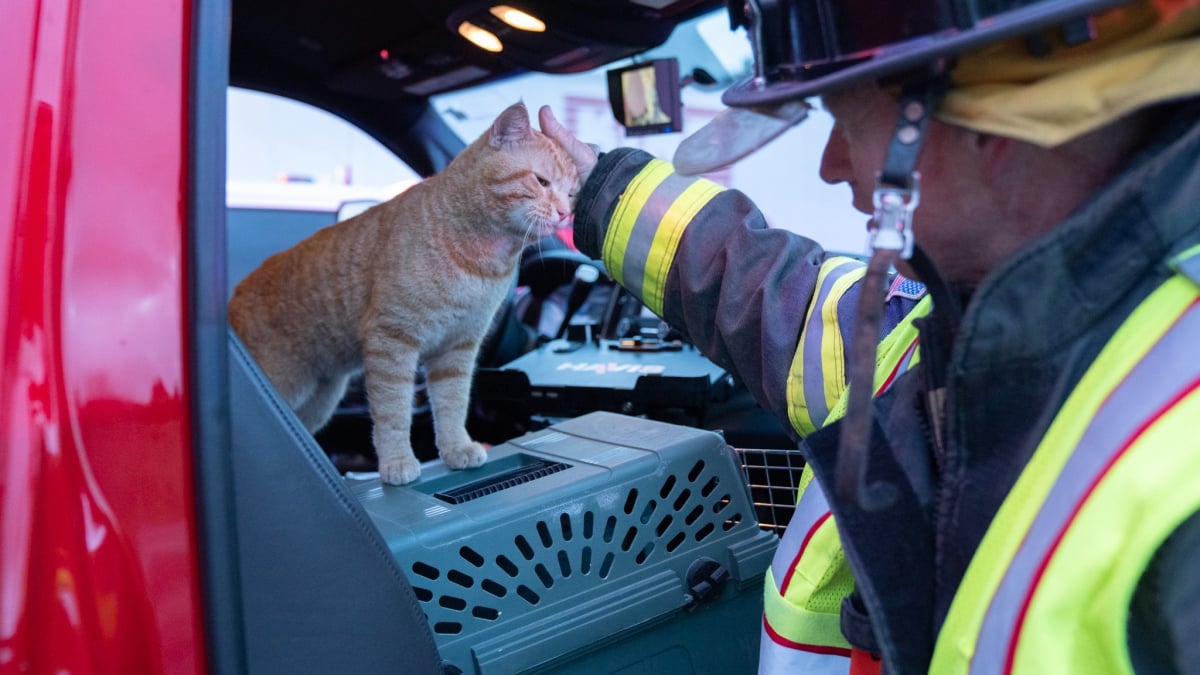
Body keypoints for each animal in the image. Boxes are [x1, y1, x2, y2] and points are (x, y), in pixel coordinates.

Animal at [231, 102, 578, 482]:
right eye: (541, 181)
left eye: (571, 193)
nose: (566, 214)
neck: (480, 260)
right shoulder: (392, 341)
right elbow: (393, 412)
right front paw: (397, 461)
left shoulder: (457, 348)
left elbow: (453, 403)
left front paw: (456, 447)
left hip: (319, 401)